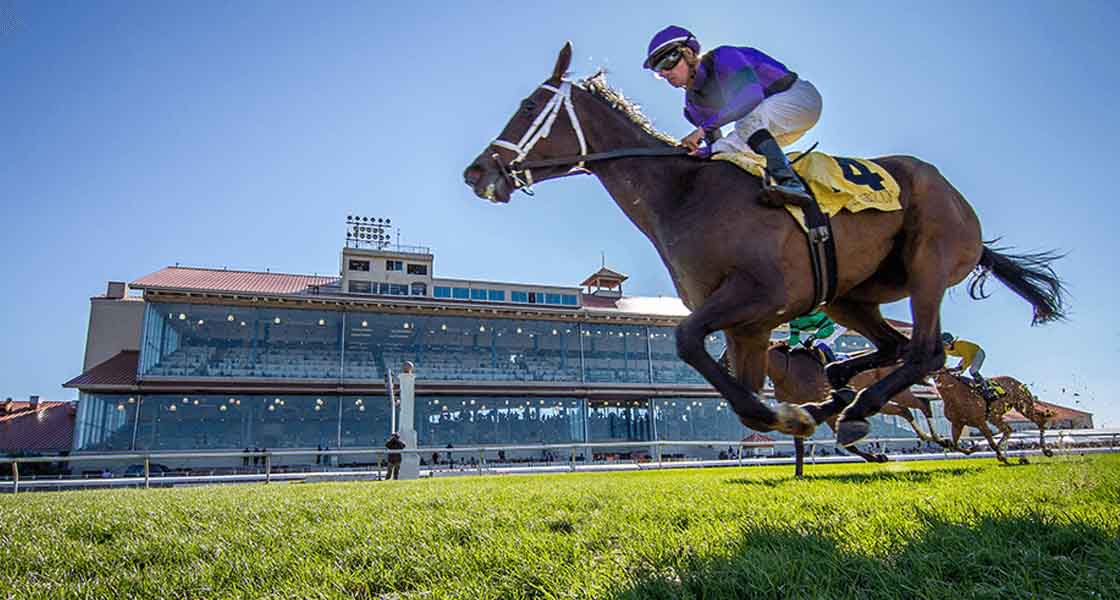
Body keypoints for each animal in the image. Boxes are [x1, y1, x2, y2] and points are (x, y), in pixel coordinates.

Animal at [465, 43, 1066, 445]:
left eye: (527, 108)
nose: (477, 172)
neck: (683, 194)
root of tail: (961, 205)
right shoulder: (748, 326)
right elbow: (739, 391)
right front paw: (797, 412)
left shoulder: (760, 296)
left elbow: (687, 342)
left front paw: (793, 414)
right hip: (851, 295)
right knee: (893, 348)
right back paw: (841, 390)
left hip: (928, 264)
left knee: (925, 350)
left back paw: (856, 405)